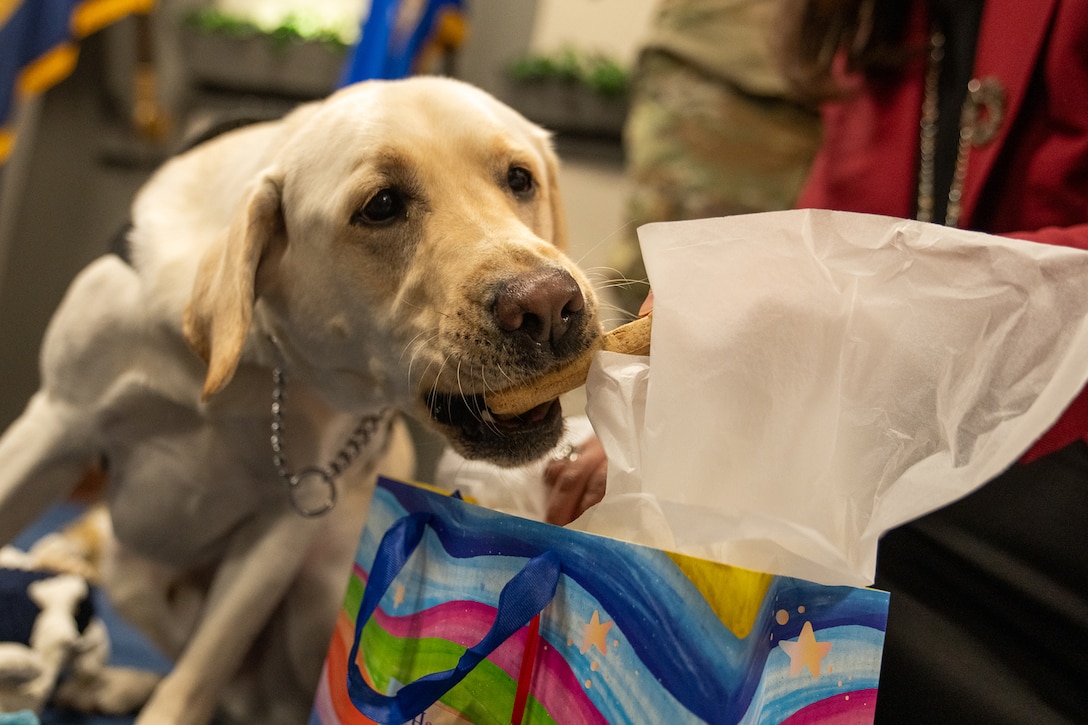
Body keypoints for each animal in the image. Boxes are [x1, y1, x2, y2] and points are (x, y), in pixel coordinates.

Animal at [0, 76, 600, 718]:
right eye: (381, 205)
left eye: (520, 179)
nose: (548, 305)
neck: (258, 360)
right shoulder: (54, 426)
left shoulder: (292, 516)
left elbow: (200, 670)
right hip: (128, 565)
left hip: (329, 578)